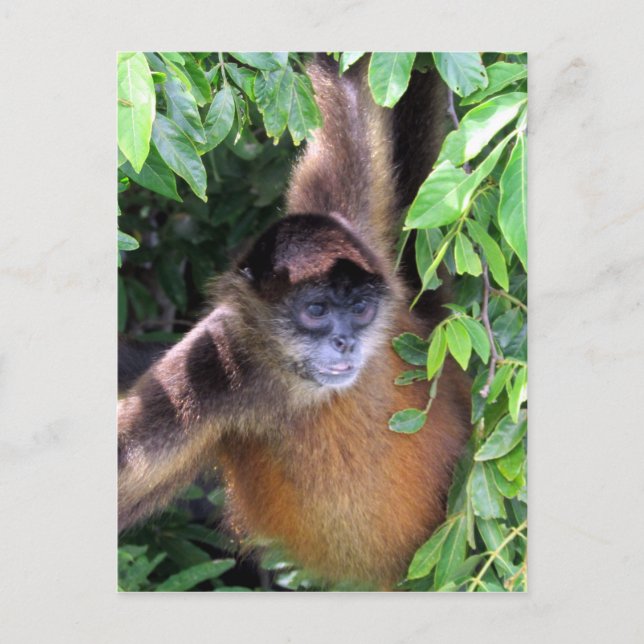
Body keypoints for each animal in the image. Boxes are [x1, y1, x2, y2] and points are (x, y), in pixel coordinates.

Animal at [118, 55, 471, 589]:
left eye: (360, 308)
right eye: (316, 311)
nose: (346, 342)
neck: (304, 386)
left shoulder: (348, 224)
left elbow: (350, 90)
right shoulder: (216, 364)